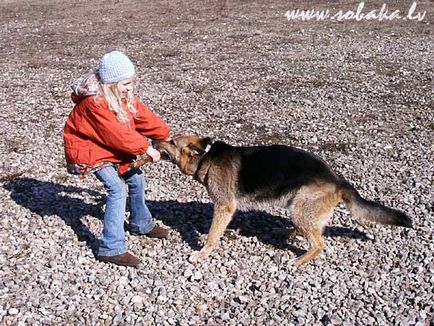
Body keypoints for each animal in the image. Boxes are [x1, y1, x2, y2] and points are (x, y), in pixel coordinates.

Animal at [154, 135, 412, 264]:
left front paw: (202, 253)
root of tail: (338, 180)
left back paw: (299, 260)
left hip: (300, 208)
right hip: (296, 206)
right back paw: (284, 232)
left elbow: (211, 235)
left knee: (318, 243)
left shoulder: (224, 206)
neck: (205, 158)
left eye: (172, 142)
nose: (153, 141)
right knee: (308, 230)